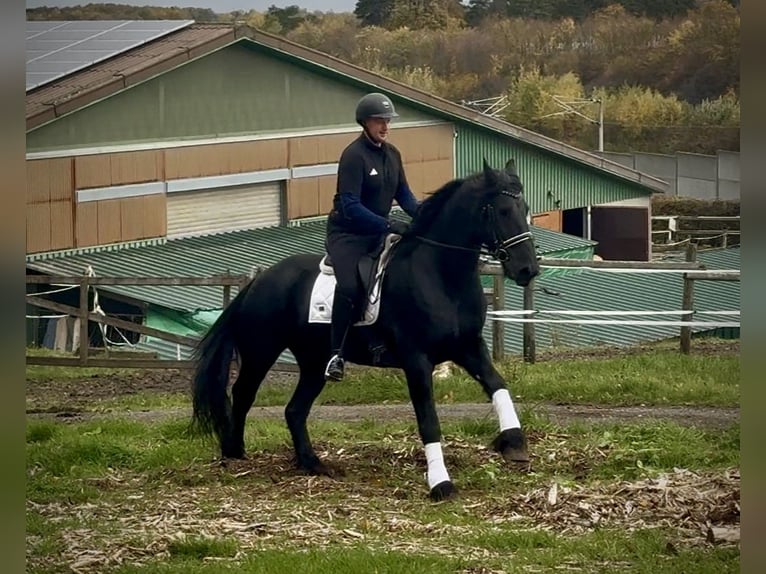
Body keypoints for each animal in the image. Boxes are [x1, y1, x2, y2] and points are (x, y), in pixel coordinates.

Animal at [191, 158, 540, 501]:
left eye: (525, 209)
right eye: (503, 211)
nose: (528, 269)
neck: (441, 276)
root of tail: (258, 280)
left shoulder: (468, 347)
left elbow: (498, 385)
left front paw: (514, 442)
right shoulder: (417, 359)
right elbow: (428, 420)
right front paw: (441, 484)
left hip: (315, 363)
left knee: (294, 410)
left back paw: (312, 464)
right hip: (261, 352)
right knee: (243, 394)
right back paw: (234, 453)